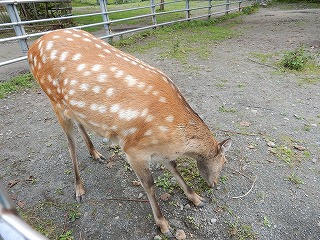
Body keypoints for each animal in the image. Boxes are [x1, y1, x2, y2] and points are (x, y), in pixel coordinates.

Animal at [27, 29, 231, 237]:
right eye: (224, 161)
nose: (214, 184)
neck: (173, 132)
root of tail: (33, 46)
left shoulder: (161, 150)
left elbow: (174, 166)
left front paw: (196, 198)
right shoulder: (133, 149)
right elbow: (149, 184)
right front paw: (163, 224)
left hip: (72, 107)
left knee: (79, 123)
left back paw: (95, 153)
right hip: (54, 100)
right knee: (70, 143)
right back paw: (79, 189)